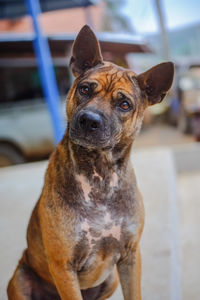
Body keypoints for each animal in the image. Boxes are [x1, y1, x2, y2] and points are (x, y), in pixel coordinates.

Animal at [7, 25, 173, 300]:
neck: (99, 174)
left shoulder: (130, 256)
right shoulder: (63, 266)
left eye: (124, 104)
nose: (89, 120)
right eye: (85, 89)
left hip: (111, 280)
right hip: (19, 279)